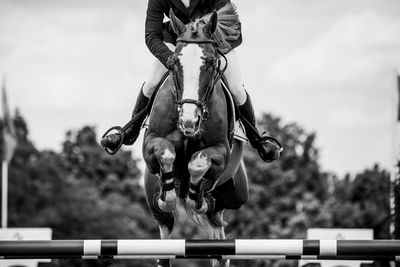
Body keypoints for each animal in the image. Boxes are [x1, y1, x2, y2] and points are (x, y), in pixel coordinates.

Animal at [142, 6, 245, 267]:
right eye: (174, 62)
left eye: (209, 63)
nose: (189, 121)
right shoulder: (151, 144)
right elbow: (166, 154)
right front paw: (168, 195)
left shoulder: (220, 152)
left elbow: (198, 163)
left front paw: (195, 197)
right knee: (165, 230)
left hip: (236, 193)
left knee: (216, 222)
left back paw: (205, 201)